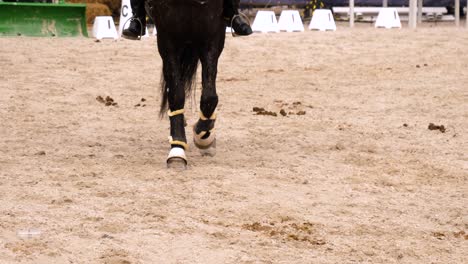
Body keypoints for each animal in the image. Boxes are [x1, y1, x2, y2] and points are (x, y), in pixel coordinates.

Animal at [146, 0, 227, 169]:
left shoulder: (213, 35)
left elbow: (209, 97)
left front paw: (204, 135)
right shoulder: (167, 38)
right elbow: (176, 94)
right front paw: (177, 149)